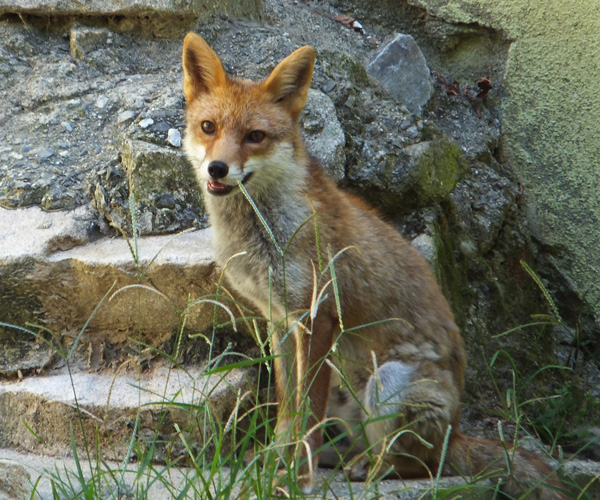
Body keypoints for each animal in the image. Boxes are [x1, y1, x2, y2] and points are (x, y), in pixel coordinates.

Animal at [182, 33, 568, 498]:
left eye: (255, 136)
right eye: (209, 127)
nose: (217, 168)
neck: (265, 232)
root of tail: (457, 430)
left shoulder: (318, 316)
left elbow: (306, 414)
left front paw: (297, 477)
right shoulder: (280, 321)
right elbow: (289, 411)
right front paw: (276, 462)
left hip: (387, 382)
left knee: (422, 465)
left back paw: (374, 467)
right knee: (360, 446)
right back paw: (345, 459)